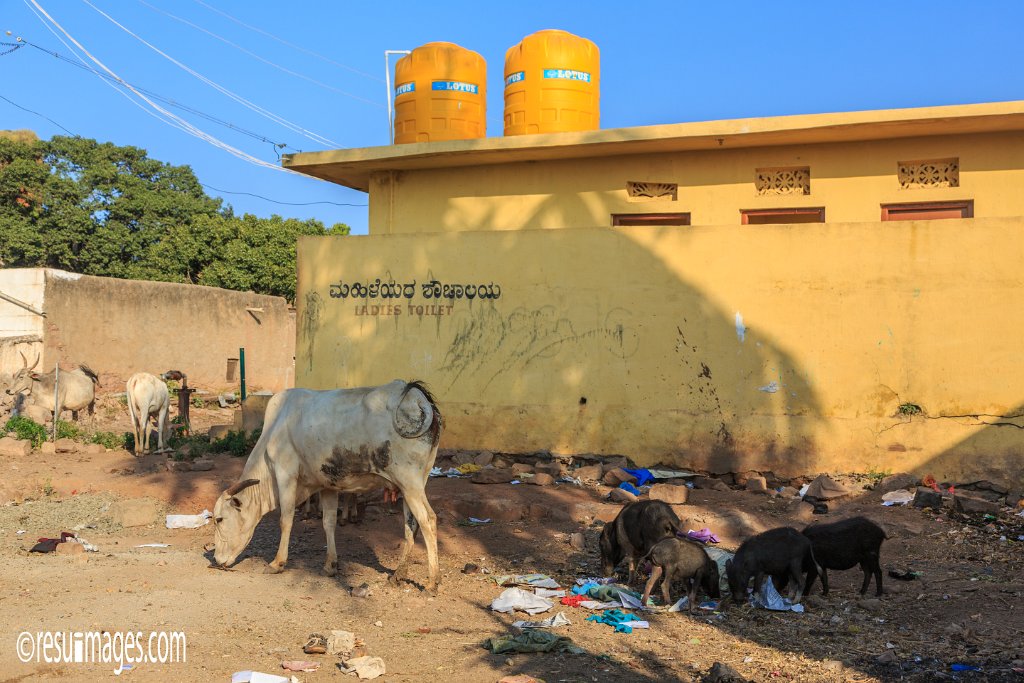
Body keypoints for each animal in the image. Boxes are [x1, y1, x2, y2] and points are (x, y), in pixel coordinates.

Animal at [214, 378, 442, 593]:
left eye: (219, 519)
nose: (216, 560)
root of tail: (416, 395)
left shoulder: (285, 475)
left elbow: (285, 520)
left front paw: (277, 563)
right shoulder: (327, 486)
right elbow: (328, 522)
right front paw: (330, 565)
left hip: (409, 482)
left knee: (428, 519)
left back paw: (433, 582)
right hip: (411, 484)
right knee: (411, 524)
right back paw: (398, 575)